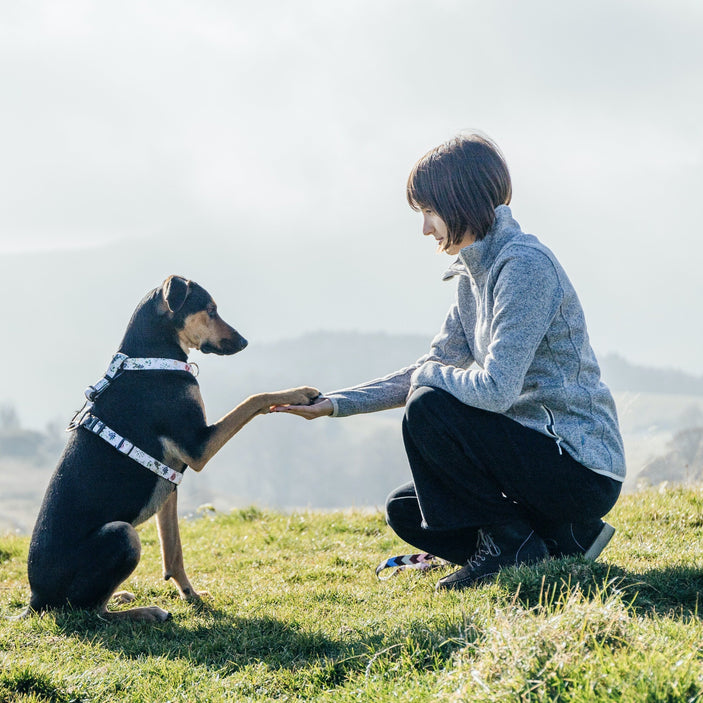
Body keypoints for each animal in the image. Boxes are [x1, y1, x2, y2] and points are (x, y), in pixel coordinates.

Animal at [24, 276, 316, 620]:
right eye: (211, 310)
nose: (244, 342)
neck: (150, 361)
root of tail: (35, 600)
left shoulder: (169, 481)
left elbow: (173, 551)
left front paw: (192, 595)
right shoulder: (198, 446)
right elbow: (253, 399)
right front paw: (298, 392)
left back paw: (122, 595)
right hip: (122, 534)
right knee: (92, 613)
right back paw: (145, 612)